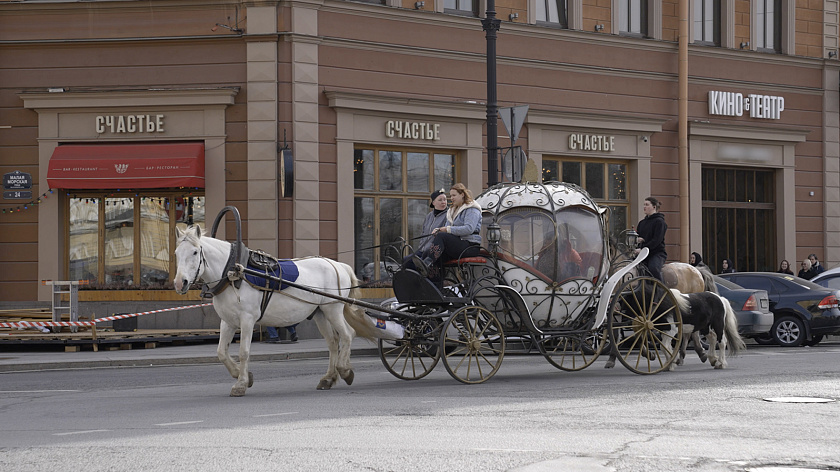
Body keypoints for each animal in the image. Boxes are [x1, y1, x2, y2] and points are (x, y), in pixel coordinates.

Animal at [174, 225, 378, 394]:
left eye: (195, 252)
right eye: (176, 253)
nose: (179, 282)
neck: (233, 275)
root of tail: (337, 265)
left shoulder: (247, 320)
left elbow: (243, 352)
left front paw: (241, 383)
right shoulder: (228, 321)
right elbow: (221, 352)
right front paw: (242, 375)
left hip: (333, 309)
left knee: (348, 334)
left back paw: (344, 369)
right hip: (320, 313)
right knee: (333, 342)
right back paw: (328, 378)